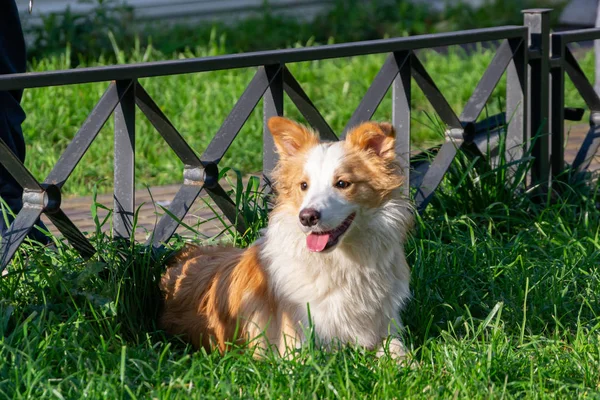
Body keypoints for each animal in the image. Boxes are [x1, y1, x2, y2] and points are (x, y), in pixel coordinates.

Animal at [157, 115, 414, 360]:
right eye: (303, 185)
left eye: (342, 183)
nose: (307, 217)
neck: (342, 263)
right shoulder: (295, 347)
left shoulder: (386, 327)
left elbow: (399, 351)